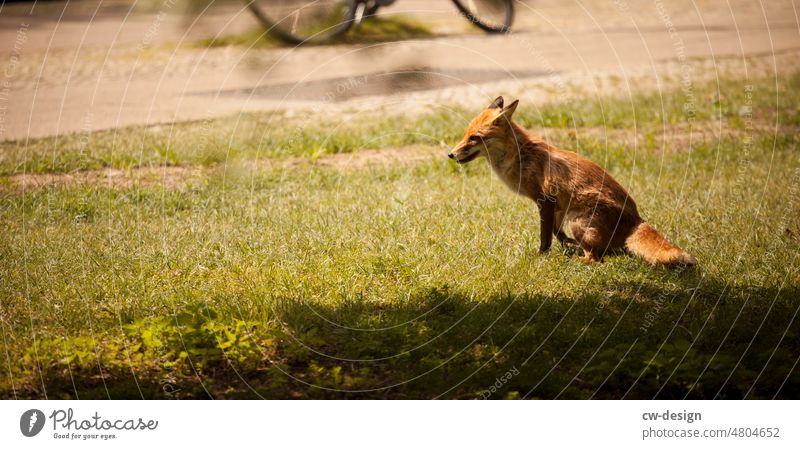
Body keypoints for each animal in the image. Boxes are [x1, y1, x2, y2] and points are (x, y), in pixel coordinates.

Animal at [446, 95, 696, 266]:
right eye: (465, 135)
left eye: (474, 138)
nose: (451, 154)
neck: (520, 156)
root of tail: (635, 219)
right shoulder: (556, 206)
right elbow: (556, 232)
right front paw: (564, 244)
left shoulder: (544, 200)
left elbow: (545, 236)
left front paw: (543, 256)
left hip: (578, 221)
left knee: (597, 258)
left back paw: (577, 259)